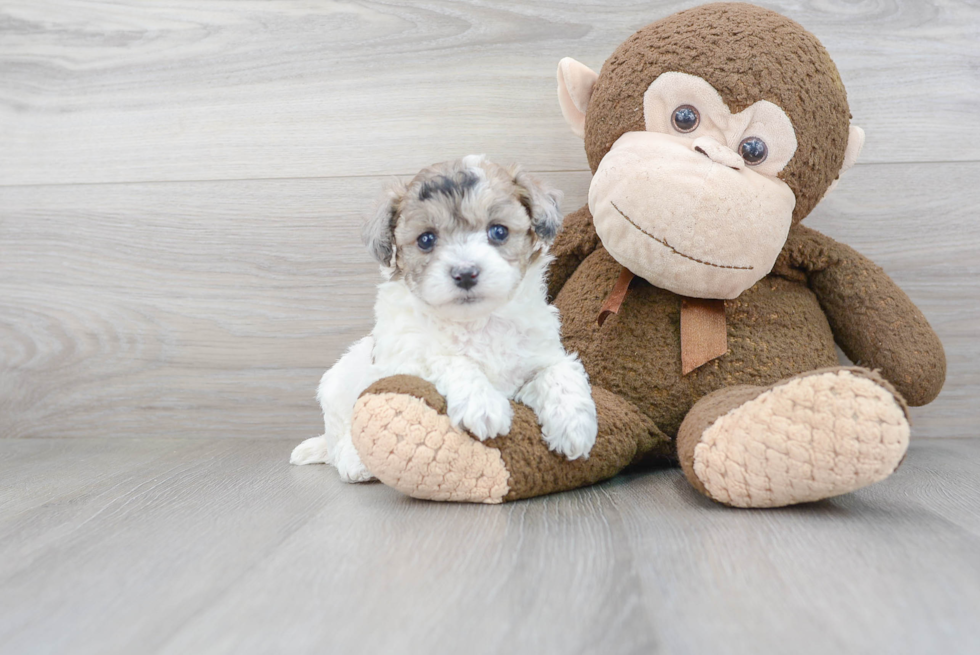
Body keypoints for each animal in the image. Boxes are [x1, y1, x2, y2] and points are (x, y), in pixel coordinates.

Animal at [290, 154, 596, 482]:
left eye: (499, 231)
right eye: (426, 239)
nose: (465, 273)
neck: (476, 322)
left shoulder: (540, 354)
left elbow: (559, 371)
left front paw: (574, 424)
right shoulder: (405, 357)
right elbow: (446, 359)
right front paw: (482, 403)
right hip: (336, 390)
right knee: (339, 440)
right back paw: (354, 461)